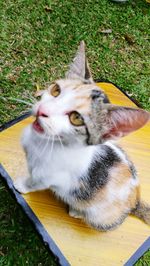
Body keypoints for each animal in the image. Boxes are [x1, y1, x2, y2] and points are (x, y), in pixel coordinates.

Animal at [14, 41, 150, 231]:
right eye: (56, 90)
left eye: (76, 118)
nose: (42, 110)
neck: (44, 142)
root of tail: (135, 202)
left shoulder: (47, 178)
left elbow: (34, 182)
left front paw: (22, 184)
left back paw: (76, 211)